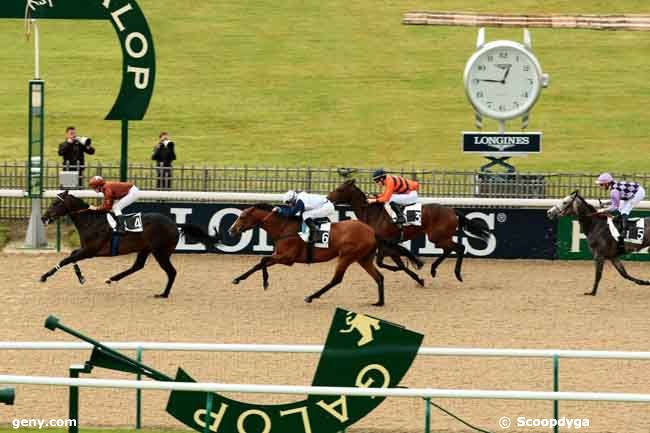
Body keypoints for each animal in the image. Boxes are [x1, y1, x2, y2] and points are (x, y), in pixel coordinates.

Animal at [39, 190, 220, 296]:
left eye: (55, 203)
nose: (43, 217)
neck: (91, 220)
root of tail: (175, 224)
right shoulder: (85, 249)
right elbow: (71, 256)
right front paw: (81, 277)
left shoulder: (90, 251)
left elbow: (66, 259)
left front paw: (44, 276)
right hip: (146, 249)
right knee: (137, 266)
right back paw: (111, 279)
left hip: (160, 252)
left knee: (172, 272)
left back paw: (163, 294)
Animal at [227, 204, 384, 306]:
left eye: (242, 217)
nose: (231, 230)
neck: (284, 228)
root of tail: (371, 231)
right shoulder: (280, 255)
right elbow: (259, 264)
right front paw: (238, 279)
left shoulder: (287, 258)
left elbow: (263, 259)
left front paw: (265, 282)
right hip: (363, 258)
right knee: (379, 277)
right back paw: (379, 302)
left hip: (347, 256)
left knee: (336, 279)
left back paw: (311, 297)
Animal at [326, 179, 488, 280]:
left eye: (339, 189)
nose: (327, 198)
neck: (372, 213)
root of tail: (452, 210)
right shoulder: (388, 244)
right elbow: (395, 259)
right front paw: (417, 272)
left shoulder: (386, 243)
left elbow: (386, 262)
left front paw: (414, 267)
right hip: (440, 237)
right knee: (449, 249)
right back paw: (433, 269)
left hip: (437, 236)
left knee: (460, 247)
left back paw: (457, 274)